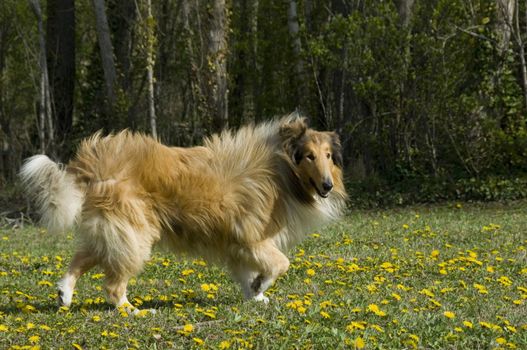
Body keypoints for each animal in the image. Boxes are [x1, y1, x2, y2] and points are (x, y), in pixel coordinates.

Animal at [20, 115, 348, 314]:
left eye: (328, 156)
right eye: (309, 156)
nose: (327, 185)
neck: (283, 169)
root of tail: (95, 160)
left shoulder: (237, 245)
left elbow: (249, 273)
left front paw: (255, 295)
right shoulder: (252, 238)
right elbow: (281, 264)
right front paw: (259, 287)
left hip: (114, 231)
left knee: (82, 258)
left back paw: (65, 294)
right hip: (135, 235)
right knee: (113, 286)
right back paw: (134, 311)